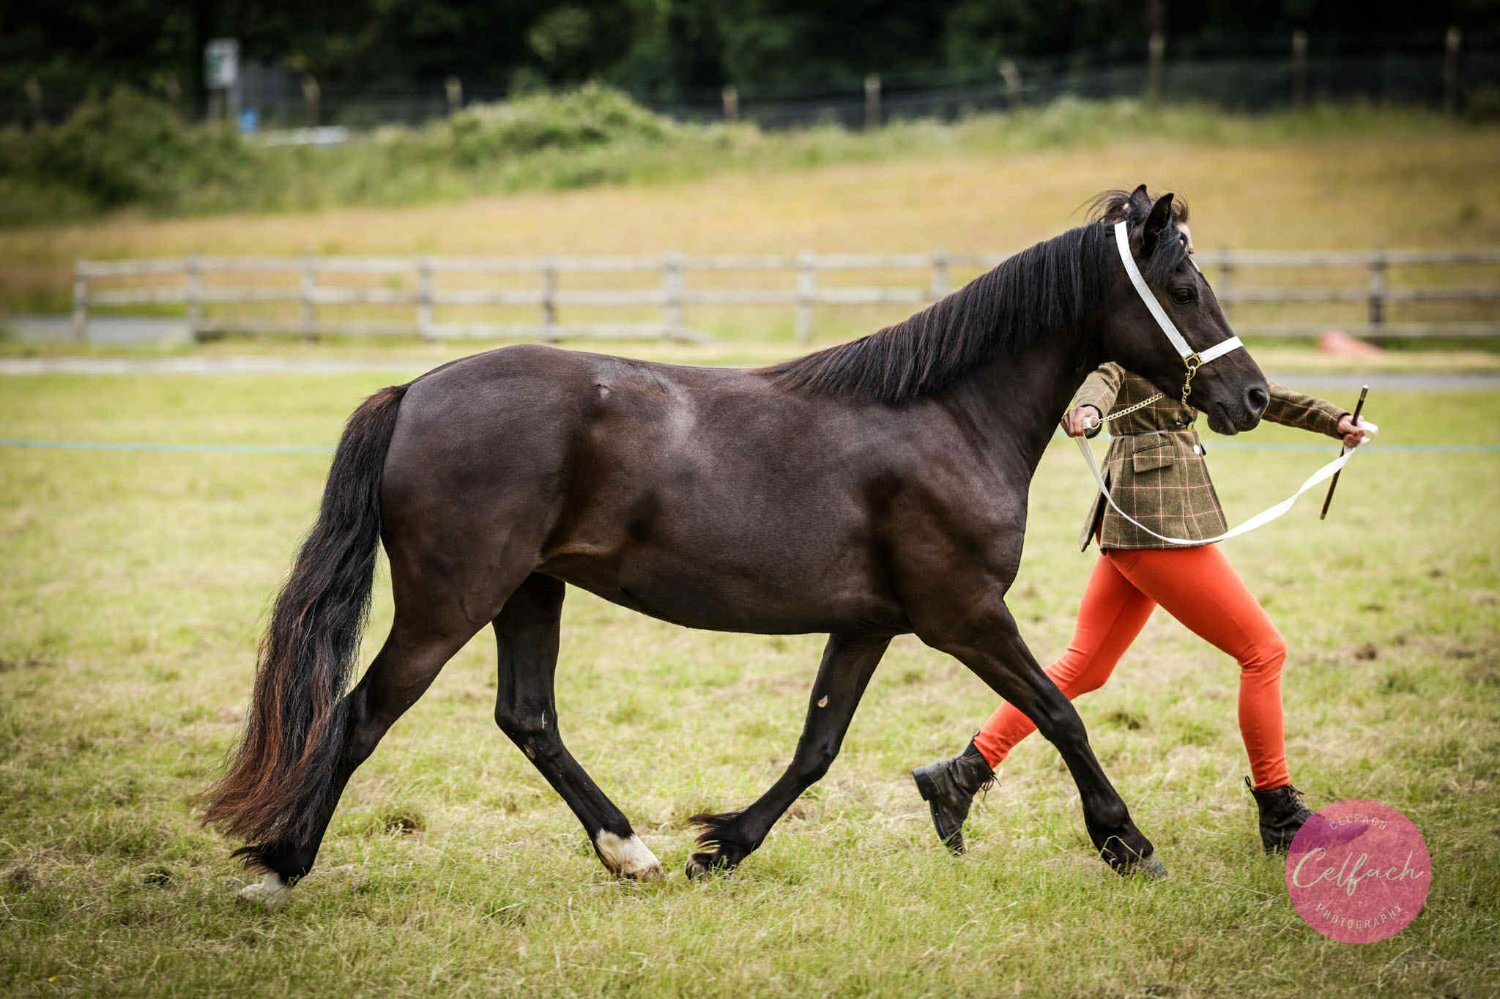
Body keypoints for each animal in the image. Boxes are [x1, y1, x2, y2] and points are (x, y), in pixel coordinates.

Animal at [204, 186, 1270, 902]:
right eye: (1183, 284)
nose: (1252, 396)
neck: (945, 414)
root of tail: (416, 389)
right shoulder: (964, 614)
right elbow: (1060, 712)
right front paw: (1127, 842)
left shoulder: (869, 624)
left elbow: (817, 747)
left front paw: (720, 846)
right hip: (450, 601)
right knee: (359, 714)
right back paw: (282, 867)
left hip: (529, 592)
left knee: (528, 718)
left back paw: (627, 850)